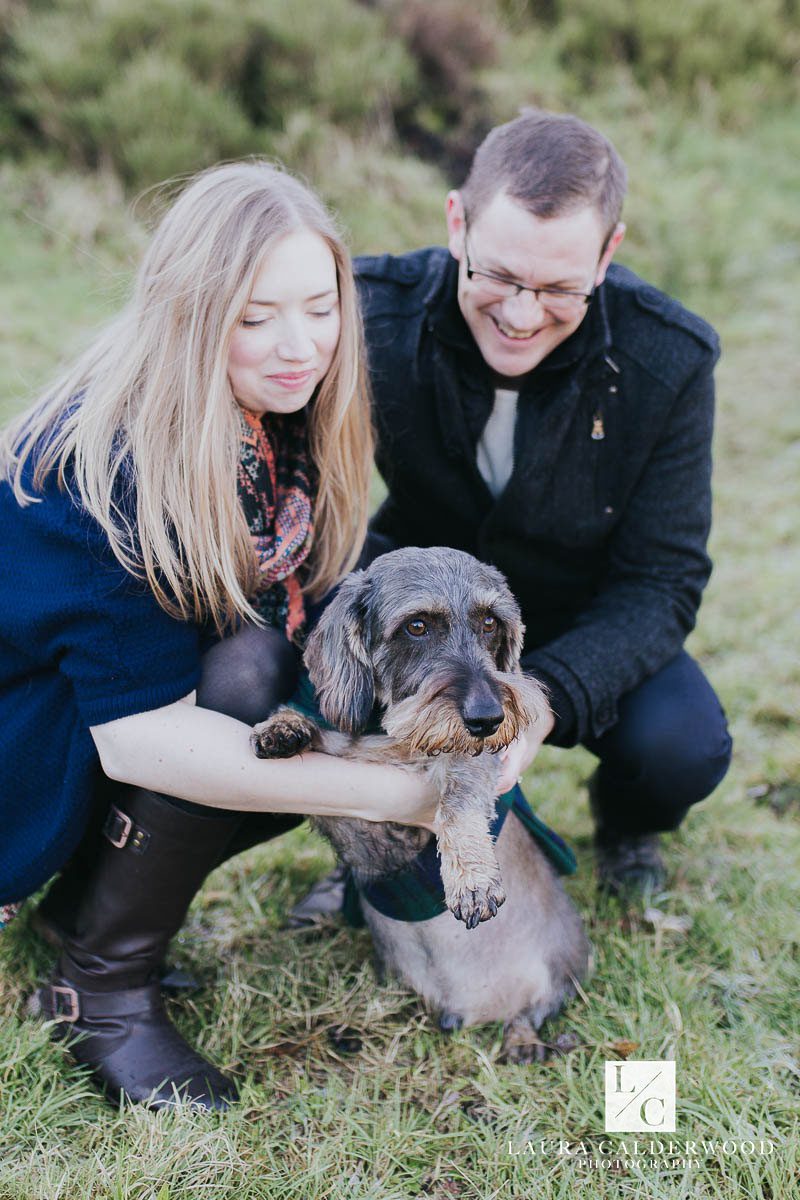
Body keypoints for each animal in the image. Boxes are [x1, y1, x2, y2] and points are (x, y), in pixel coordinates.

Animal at [253, 547, 592, 1060]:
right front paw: (284, 727)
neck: (393, 733)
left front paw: (471, 878)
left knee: (534, 1011)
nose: (488, 718)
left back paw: (523, 1041)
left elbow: (457, 799)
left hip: (564, 969)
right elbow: (322, 742)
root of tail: (473, 1012)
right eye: (417, 626)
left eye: (490, 622)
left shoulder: (471, 767)